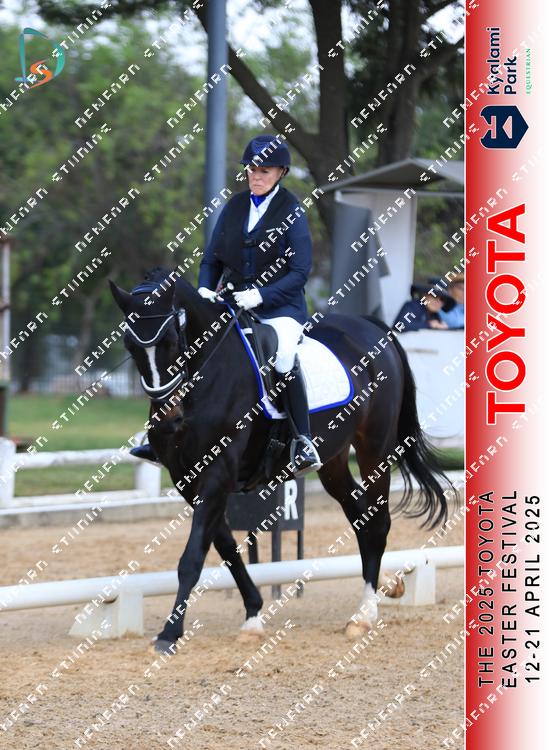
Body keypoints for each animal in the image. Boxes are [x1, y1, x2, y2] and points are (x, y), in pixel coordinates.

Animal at [110, 267, 449, 654]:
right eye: (129, 345)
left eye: (171, 340)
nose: (168, 419)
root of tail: (372, 327)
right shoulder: (188, 479)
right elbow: (226, 546)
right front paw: (253, 614)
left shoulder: (217, 473)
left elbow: (194, 555)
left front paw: (170, 632)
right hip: (332, 460)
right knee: (360, 517)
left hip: (374, 449)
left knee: (378, 522)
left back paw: (363, 615)